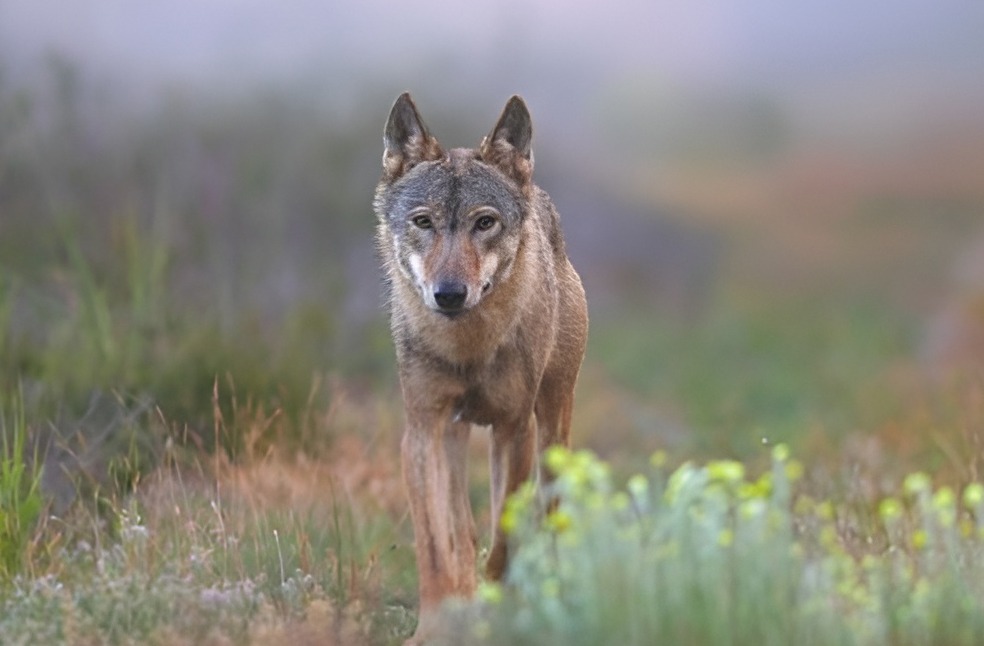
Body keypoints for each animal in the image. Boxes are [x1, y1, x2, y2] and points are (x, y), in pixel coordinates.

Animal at [374, 93, 588, 644]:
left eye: (484, 222)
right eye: (423, 222)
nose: (448, 294)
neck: (467, 349)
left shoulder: (513, 429)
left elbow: (506, 540)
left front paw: (499, 612)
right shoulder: (421, 431)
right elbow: (437, 547)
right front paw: (435, 626)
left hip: (553, 426)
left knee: (543, 518)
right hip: (454, 437)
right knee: (463, 531)